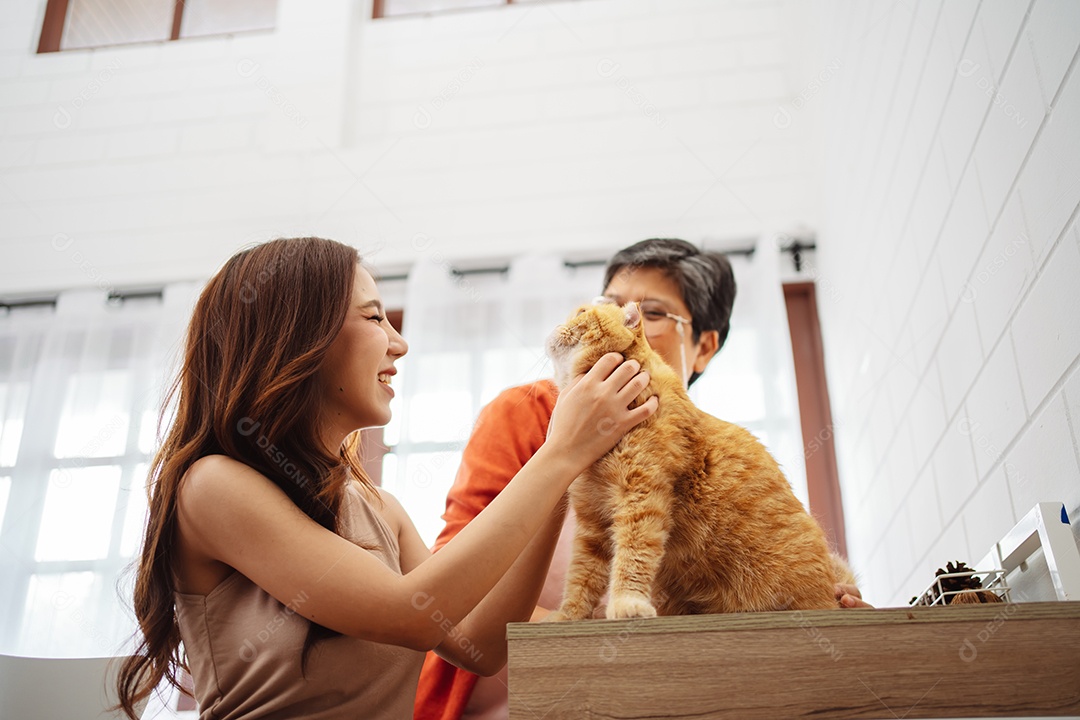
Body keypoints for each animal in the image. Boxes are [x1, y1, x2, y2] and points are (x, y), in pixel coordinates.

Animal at [544, 297, 855, 621]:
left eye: (581, 313)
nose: (556, 325)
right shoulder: (592, 524)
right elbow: (581, 578)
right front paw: (567, 616)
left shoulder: (642, 501)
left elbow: (632, 557)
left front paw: (627, 603)